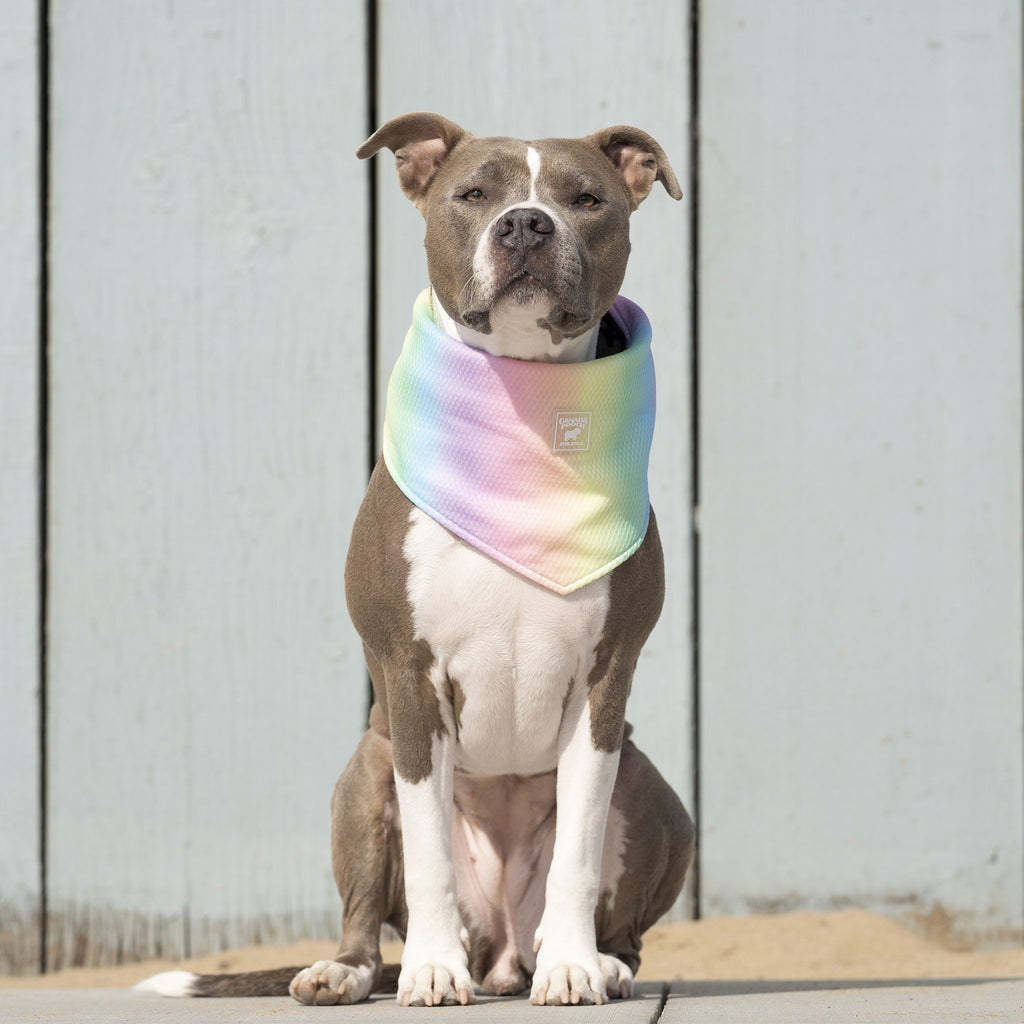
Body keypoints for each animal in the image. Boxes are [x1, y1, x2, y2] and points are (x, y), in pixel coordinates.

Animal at [136, 112, 692, 1007]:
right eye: (473, 194)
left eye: (586, 199)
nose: (527, 223)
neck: (519, 422)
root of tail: (500, 950)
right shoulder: (407, 676)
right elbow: (428, 847)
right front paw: (431, 969)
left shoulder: (607, 680)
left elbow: (576, 852)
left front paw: (573, 967)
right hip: (364, 768)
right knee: (366, 919)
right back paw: (349, 971)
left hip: (653, 789)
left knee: (623, 926)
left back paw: (595, 961)